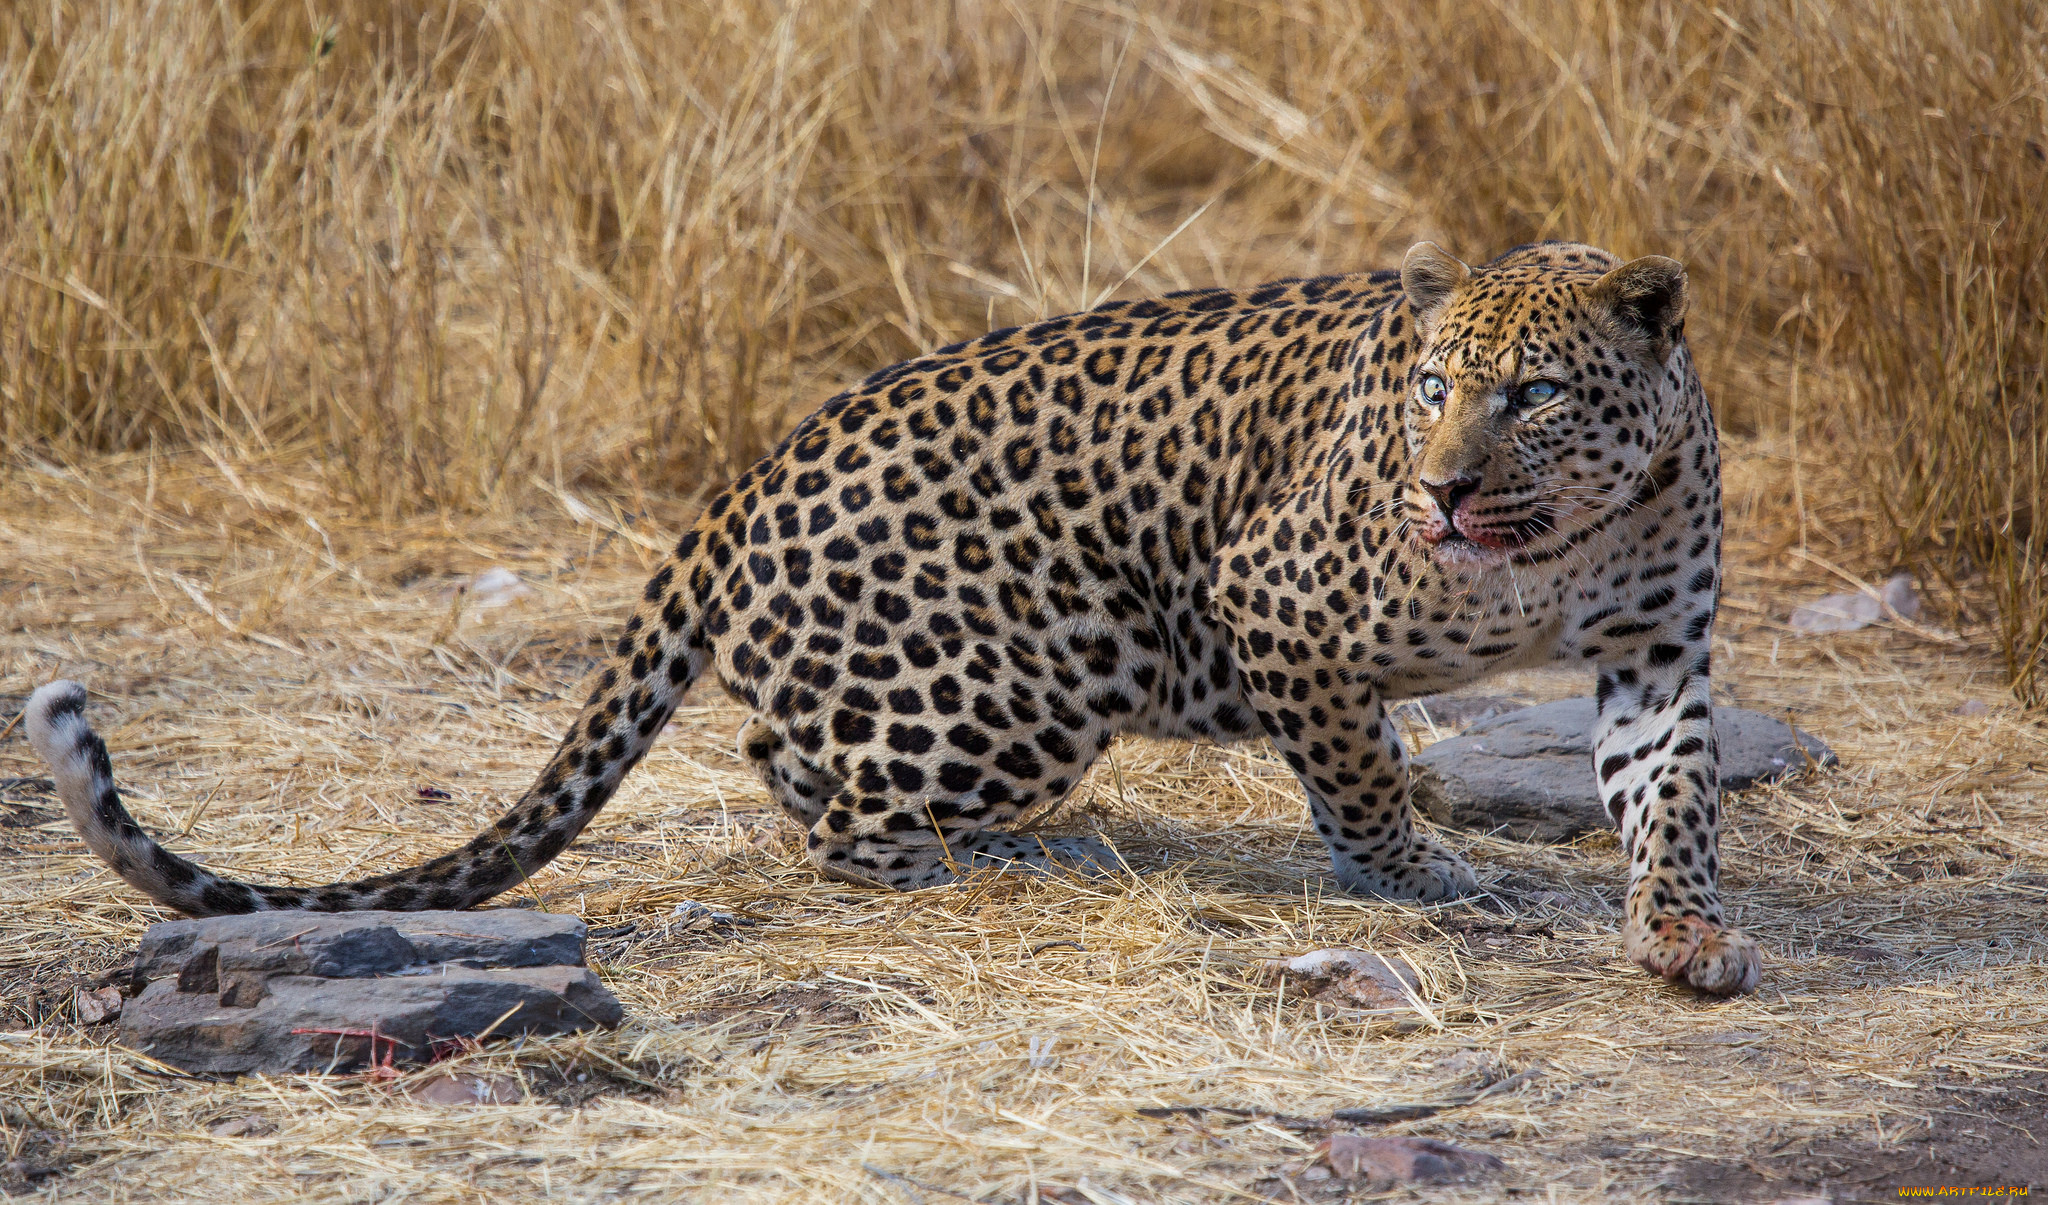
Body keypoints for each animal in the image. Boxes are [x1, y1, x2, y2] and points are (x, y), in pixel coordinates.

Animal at [28, 237, 1761, 995]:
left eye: (1532, 395)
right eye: (1431, 389)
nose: (1443, 488)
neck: (1567, 541)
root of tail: (746, 472)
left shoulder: (1655, 658)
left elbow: (1672, 801)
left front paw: (1683, 931)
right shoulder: (1273, 604)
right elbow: (1358, 772)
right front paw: (1416, 878)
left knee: (779, 759)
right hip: (1042, 673)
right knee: (841, 813)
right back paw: (1009, 859)